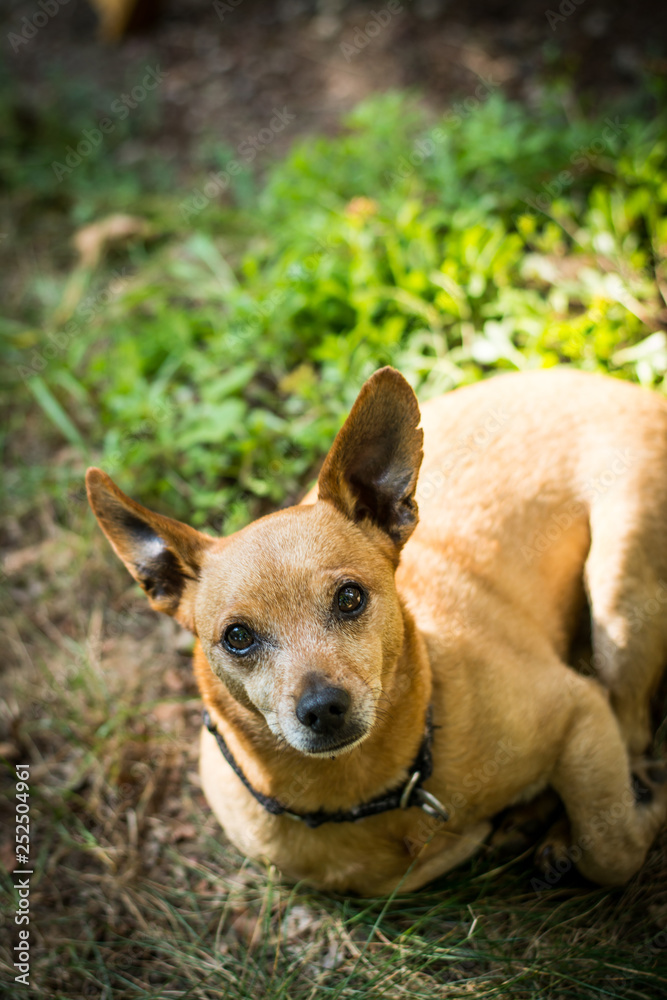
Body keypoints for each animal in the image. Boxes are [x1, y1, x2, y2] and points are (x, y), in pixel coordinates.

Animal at [86, 370, 667, 900]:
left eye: (350, 598)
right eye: (237, 637)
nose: (322, 707)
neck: (375, 786)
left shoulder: (579, 709)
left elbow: (611, 849)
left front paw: (635, 814)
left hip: (618, 595)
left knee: (634, 732)